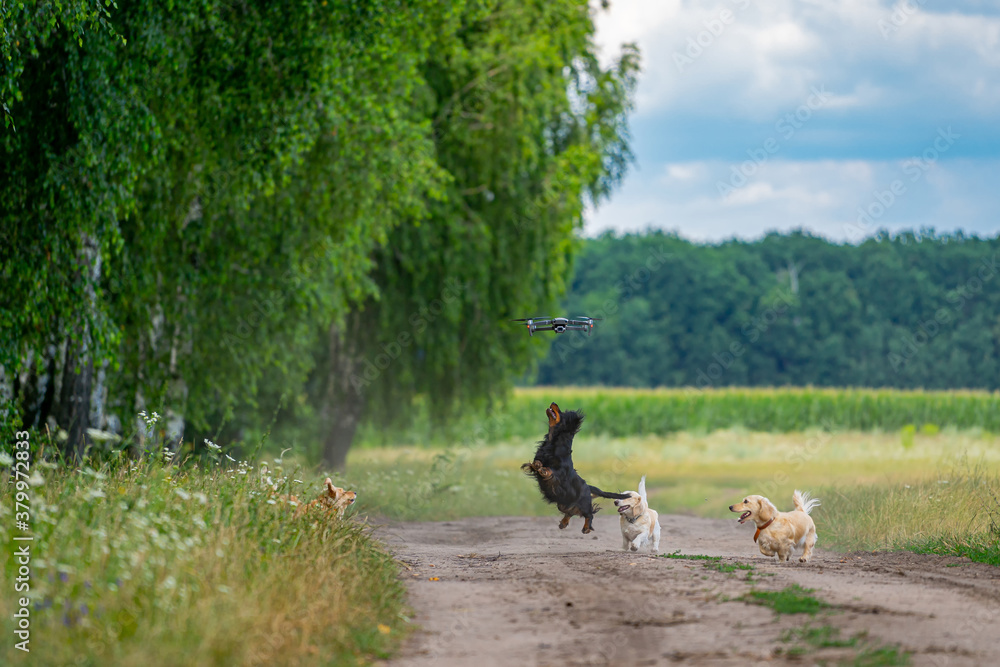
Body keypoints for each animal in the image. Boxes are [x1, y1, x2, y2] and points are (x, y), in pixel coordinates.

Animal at [520, 402, 628, 532]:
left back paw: (586, 528)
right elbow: (536, 464)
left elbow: (552, 471)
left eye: (561, 412)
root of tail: (588, 486)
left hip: (584, 503)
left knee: (589, 514)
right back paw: (563, 523)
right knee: (570, 512)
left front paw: (545, 470)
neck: (554, 442)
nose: (553, 403)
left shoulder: (560, 472)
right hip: (563, 503)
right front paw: (537, 465)